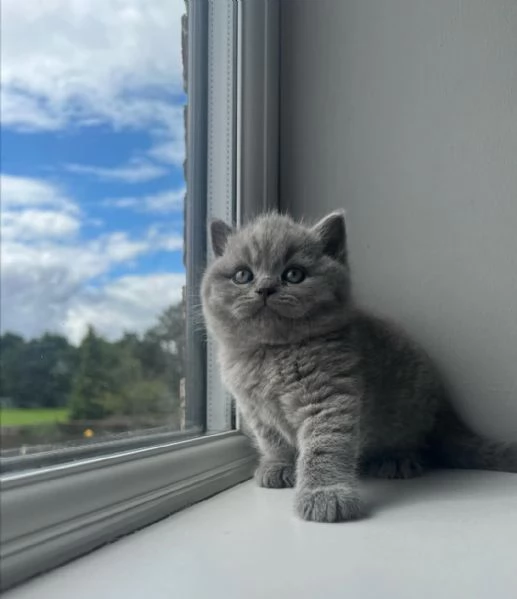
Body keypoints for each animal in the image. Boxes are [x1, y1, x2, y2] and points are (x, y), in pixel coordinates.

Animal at [202, 213, 516, 524]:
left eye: (294, 274)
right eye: (243, 275)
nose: (265, 288)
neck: (271, 352)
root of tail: (445, 406)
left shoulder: (329, 394)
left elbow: (324, 445)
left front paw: (325, 495)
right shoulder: (256, 409)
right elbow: (272, 440)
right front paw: (279, 466)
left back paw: (396, 460)